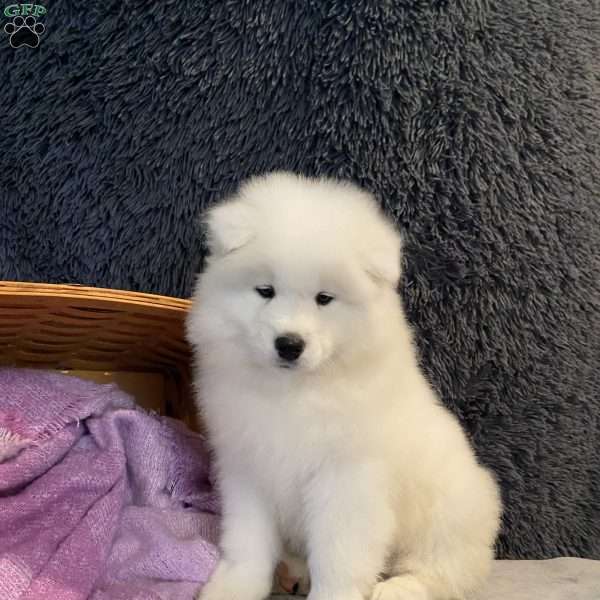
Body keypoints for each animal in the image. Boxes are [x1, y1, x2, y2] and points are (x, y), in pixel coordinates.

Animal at [189, 171, 502, 596]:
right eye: (265, 291)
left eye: (324, 298)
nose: (289, 344)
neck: (294, 392)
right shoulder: (247, 470)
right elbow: (247, 543)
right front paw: (233, 588)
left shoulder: (348, 483)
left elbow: (338, 556)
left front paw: (332, 594)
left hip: (449, 513)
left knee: (442, 571)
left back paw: (397, 589)